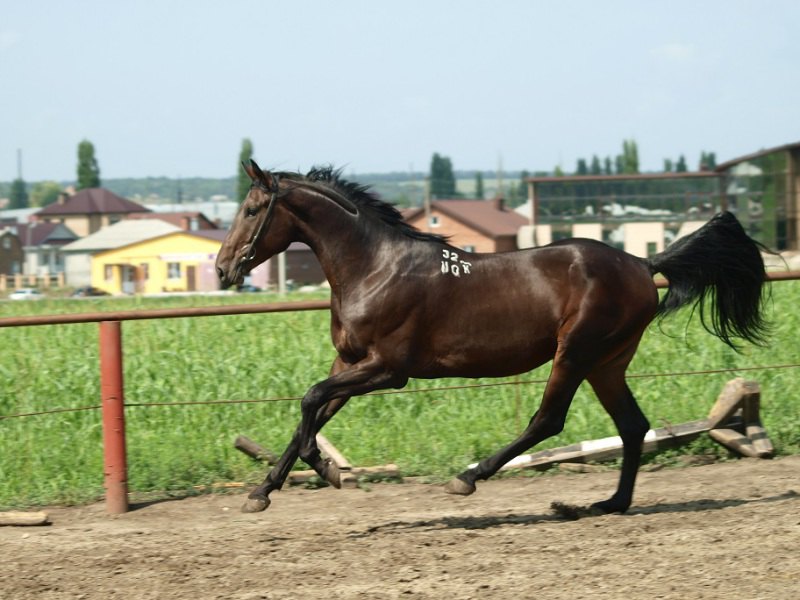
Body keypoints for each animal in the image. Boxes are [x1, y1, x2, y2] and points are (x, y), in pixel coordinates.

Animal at [214, 161, 768, 516]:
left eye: (252, 210)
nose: (222, 269)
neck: (374, 267)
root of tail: (642, 262)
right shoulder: (347, 363)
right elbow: (308, 415)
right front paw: (262, 492)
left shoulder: (388, 370)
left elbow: (309, 401)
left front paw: (327, 470)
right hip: (606, 363)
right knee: (633, 426)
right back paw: (610, 503)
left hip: (576, 353)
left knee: (548, 420)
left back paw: (468, 478)